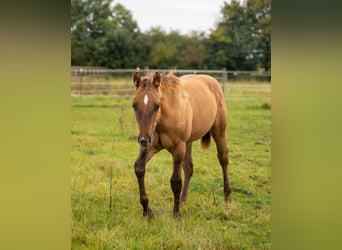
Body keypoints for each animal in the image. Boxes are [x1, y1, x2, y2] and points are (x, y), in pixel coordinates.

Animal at [132, 71, 231, 219]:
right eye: (134, 105)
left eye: (157, 105)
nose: (143, 140)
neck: (162, 121)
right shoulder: (151, 147)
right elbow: (139, 168)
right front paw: (147, 211)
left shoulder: (178, 148)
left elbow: (176, 181)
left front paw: (176, 214)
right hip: (188, 142)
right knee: (189, 168)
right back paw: (183, 200)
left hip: (219, 131)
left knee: (223, 159)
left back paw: (227, 198)